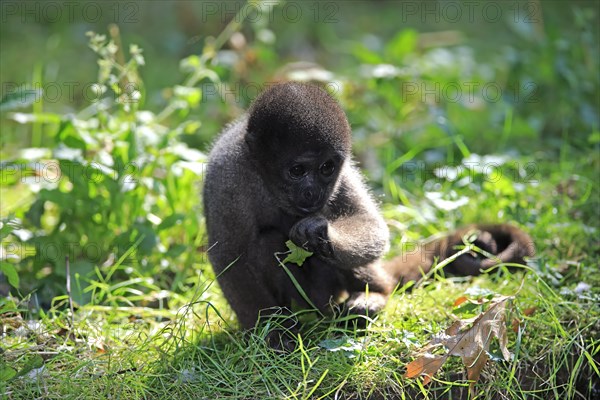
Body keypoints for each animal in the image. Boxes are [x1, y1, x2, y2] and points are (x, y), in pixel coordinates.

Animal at [203, 82, 536, 344]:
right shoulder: (226, 175)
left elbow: (371, 225)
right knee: (267, 245)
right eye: (297, 171)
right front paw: (270, 332)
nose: (313, 192)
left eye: (327, 168)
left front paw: (320, 233)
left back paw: (373, 294)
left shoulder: (344, 172)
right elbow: (230, 256)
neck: (266, 179)